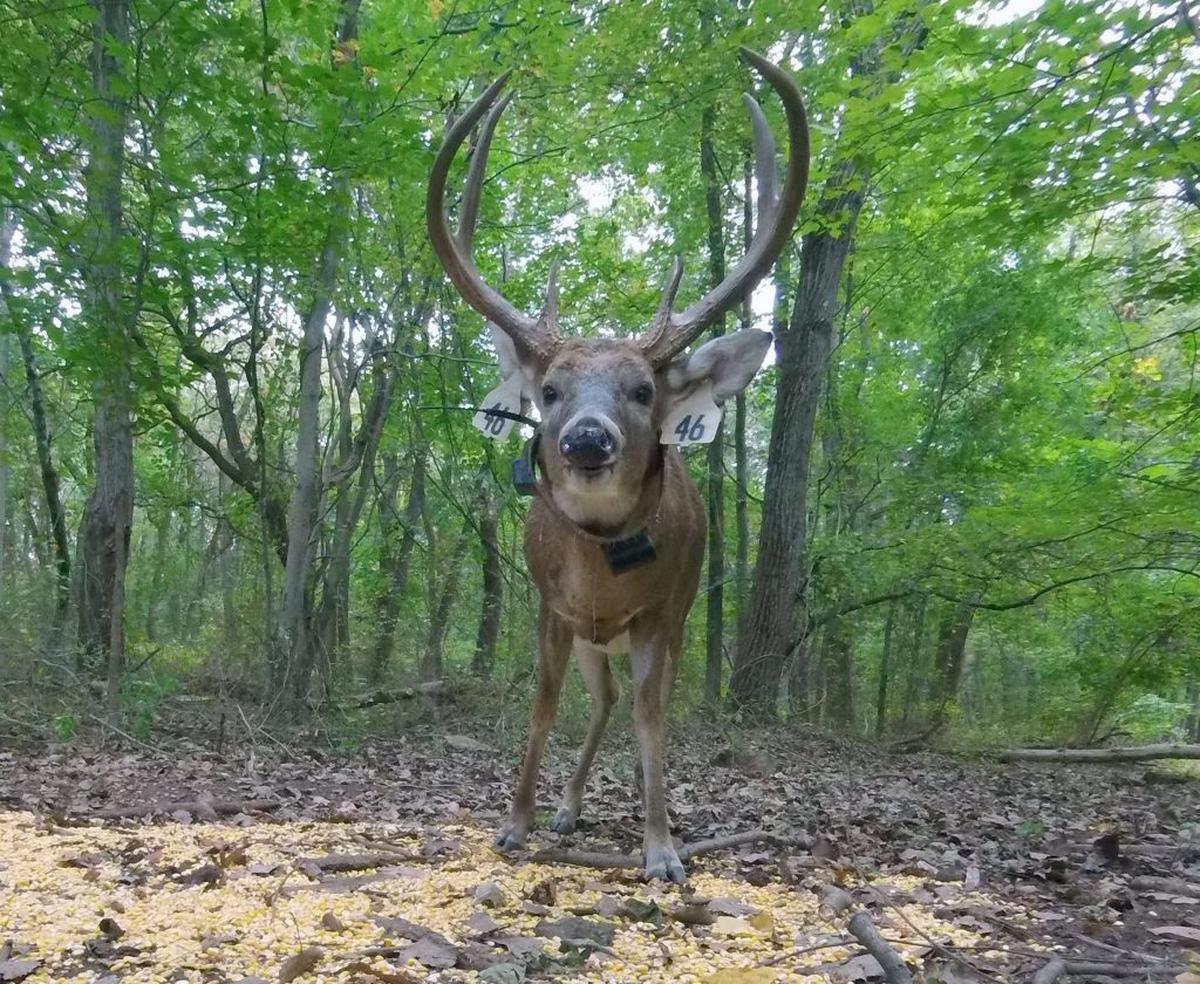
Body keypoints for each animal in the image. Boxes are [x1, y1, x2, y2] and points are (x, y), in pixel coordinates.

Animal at [426, 49, 809, 883]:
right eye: (550, 390)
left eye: (642, 389)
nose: (587, 440)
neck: (603, 573)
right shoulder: (551, 606)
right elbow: (542, 707)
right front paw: (516, 822)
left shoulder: (666, 614)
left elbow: (653, 720)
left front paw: (661, 847)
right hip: (594, 641)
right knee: (597, 703)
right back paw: (567, 809)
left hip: (667, 624)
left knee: (631, 708)